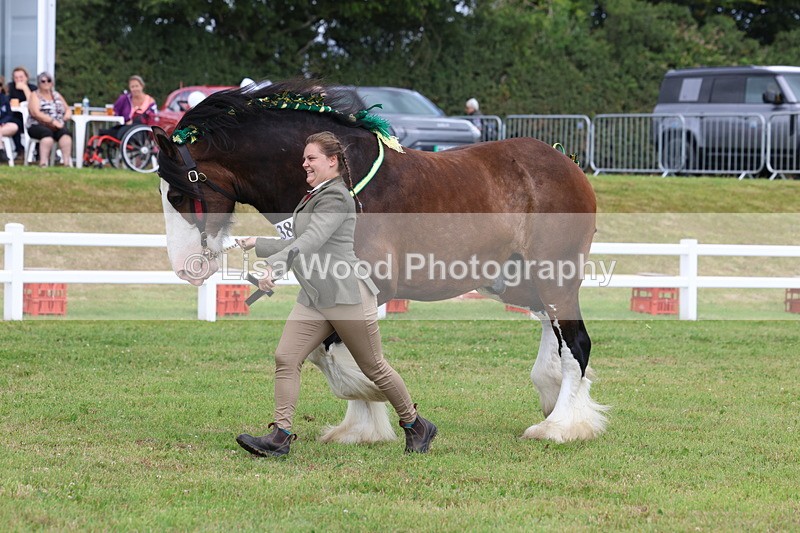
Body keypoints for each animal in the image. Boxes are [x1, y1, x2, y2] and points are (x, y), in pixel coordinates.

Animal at [152, 79, 608, 444]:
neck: (348, 184)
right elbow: (336, 356)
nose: (186, 267)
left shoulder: (368, 287)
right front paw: (360, 428)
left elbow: (349, 359)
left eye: (176, 193)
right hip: (520, 282)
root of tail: (565, 162)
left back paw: (560, 426)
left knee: (577, 344)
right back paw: (554, 400)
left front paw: (376, 408)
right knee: (553, 336)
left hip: (555, 278)